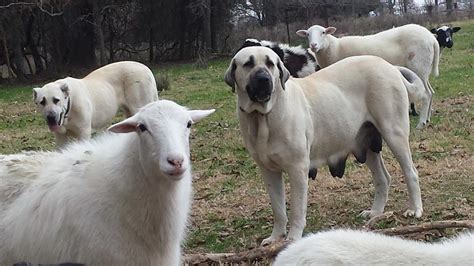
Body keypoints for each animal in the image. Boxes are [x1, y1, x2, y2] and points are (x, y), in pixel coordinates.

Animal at [224, 47, 424, 245]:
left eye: (270, 63)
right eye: (248, 64)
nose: (264, 79)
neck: (262, 117)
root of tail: (390, 66)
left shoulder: (297, 170)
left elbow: (297, 209)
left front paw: (293, 239)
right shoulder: (269, 172)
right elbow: (278, 209)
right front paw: (275, 238)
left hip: (394, 134)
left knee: (411, 172)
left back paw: (415, 209)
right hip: (367, 145)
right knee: (383, 178)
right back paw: (375, 212)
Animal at [296, 24, 440, 129]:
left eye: (323, 32)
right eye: (307, 34)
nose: (313, 45)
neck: (335, 48)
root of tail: (432, 39)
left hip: (418, 65)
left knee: (426, 94)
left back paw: (421, 123)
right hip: (424, 68)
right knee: (431, 92)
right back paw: (427, 118)